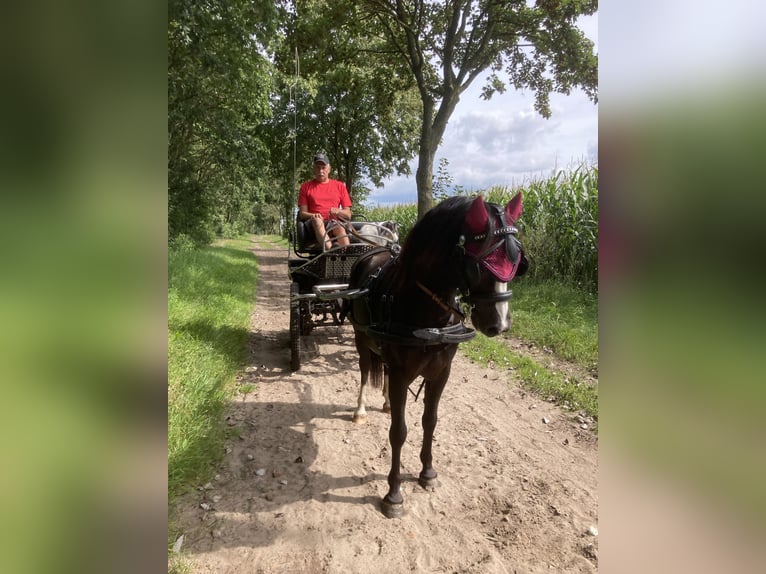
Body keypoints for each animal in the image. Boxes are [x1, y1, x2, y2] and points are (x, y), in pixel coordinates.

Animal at [346, 196, 528, 520]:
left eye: (517, 260)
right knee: (366, 370)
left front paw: (427, 472)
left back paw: (386, 403)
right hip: (360, 337)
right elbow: (399, 432)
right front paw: (394, 494)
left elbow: (430, 421)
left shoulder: (441, 373)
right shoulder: (402, 373)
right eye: (481, 263)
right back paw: (361, 409)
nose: (500, 323)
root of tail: (373, 252)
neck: (426, 313)